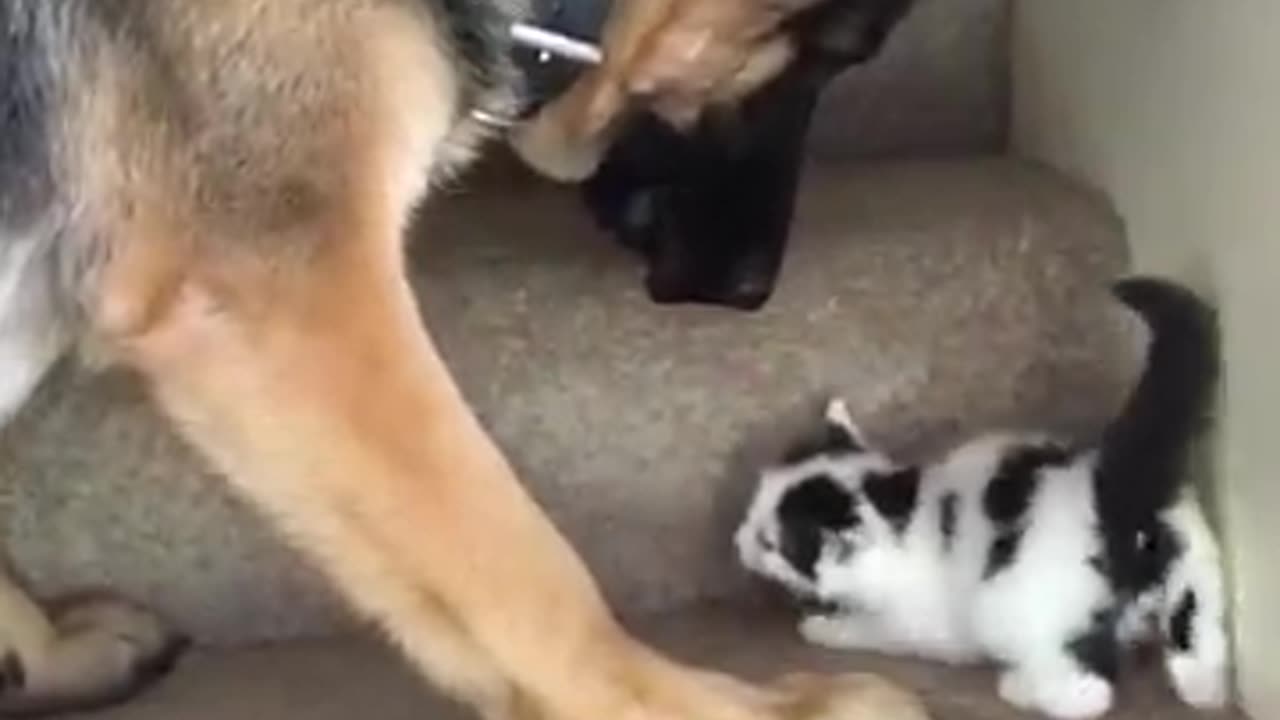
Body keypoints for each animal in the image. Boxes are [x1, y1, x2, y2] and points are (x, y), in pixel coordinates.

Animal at [742, 275, 1228, 717]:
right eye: (751, 512)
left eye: (770, 544)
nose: (738, 541)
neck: (901, 503)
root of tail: (1112, 487)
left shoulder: (923, 624)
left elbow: (876, 630)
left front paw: (824, 627)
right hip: (1193, 568)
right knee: (1198, 631)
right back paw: (1203, 687)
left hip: (1018, 609)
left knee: (1087, 694)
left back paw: (1021, 688)